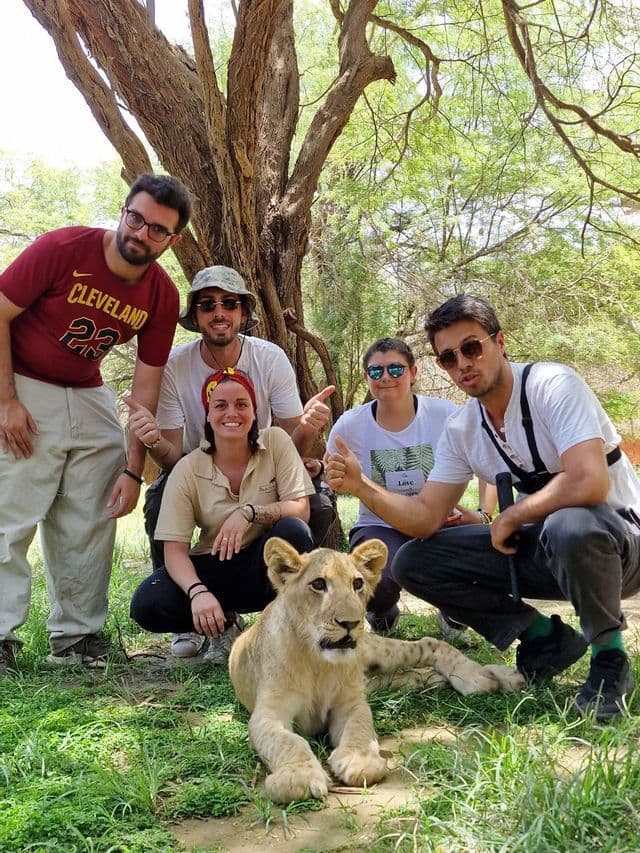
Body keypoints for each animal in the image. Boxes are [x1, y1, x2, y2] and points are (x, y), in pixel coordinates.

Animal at [228, 538, 524, 804]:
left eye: (357, 583)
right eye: (318, 584)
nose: (350, 623)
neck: (318, 663)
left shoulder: (351, 703)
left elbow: (360, 727)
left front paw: (359, 761)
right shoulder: (268, 713)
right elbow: (288, 741)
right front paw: (297, 777)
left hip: (377, 650)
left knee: (429, 644)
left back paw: (487, 677)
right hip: (377, 679)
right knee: (409, 674)